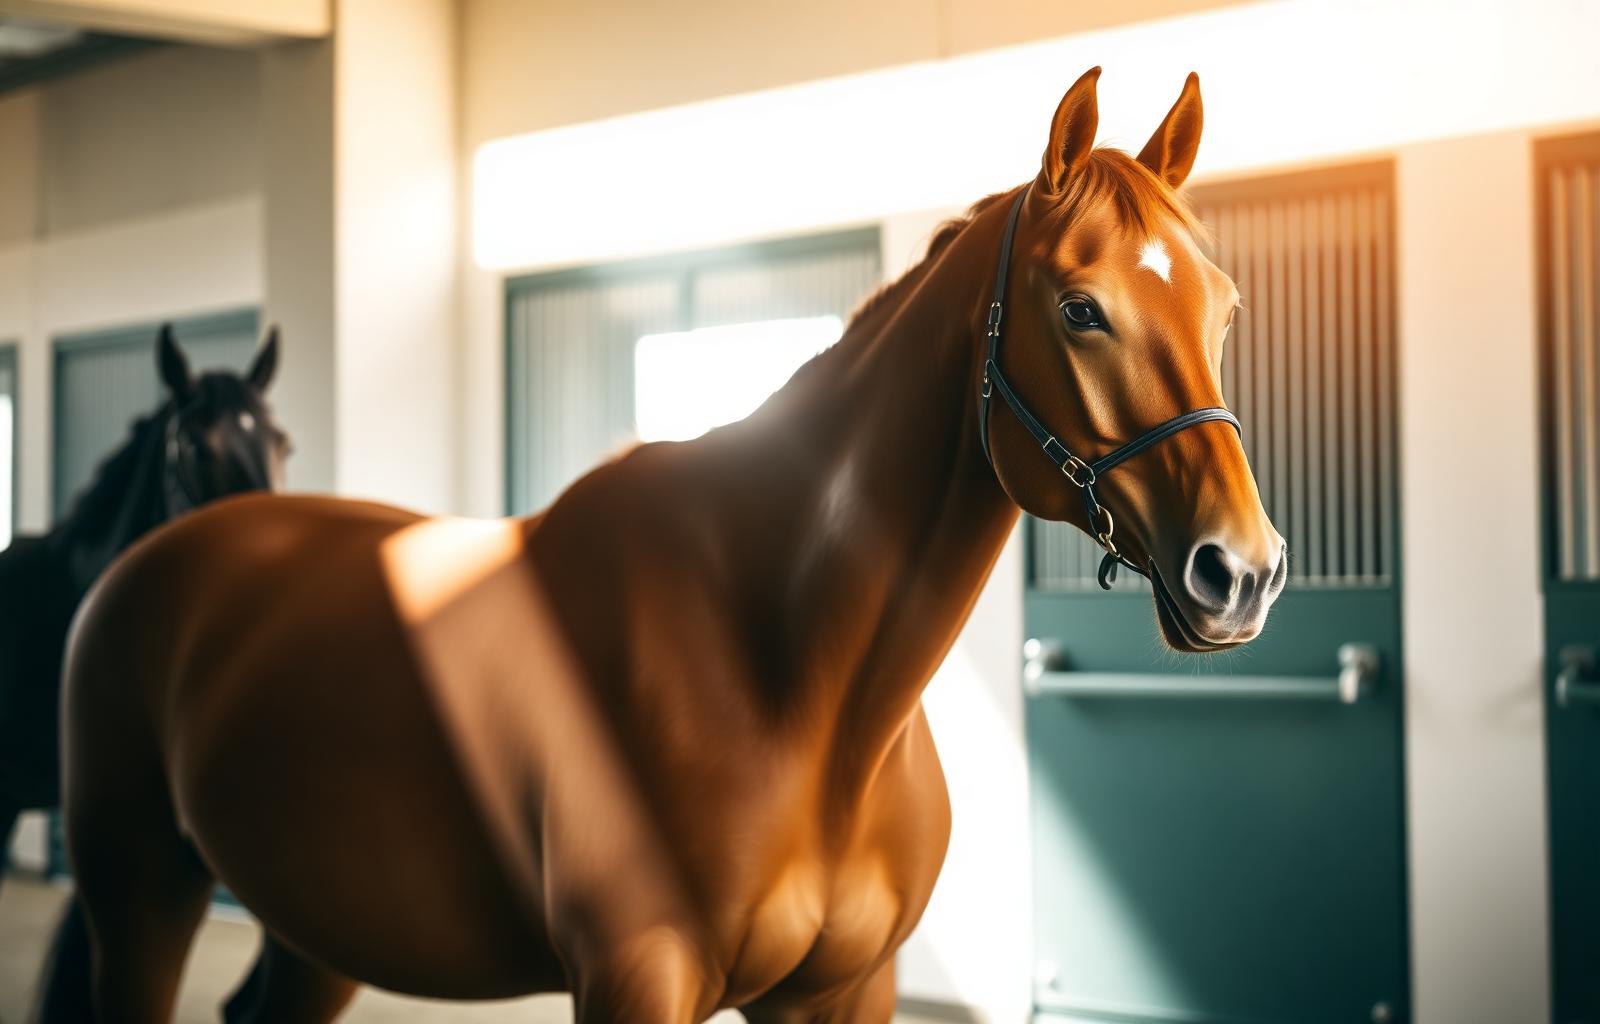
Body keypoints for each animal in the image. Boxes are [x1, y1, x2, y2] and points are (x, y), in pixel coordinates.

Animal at [58, 68, 1285, 1023]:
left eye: (1226, 306)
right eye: (1080, 310)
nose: (1242, 571)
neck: (795, 677)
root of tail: (153, 563)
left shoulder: (848, 989)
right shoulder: (638, 977)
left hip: (319, 926)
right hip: (142, 895)